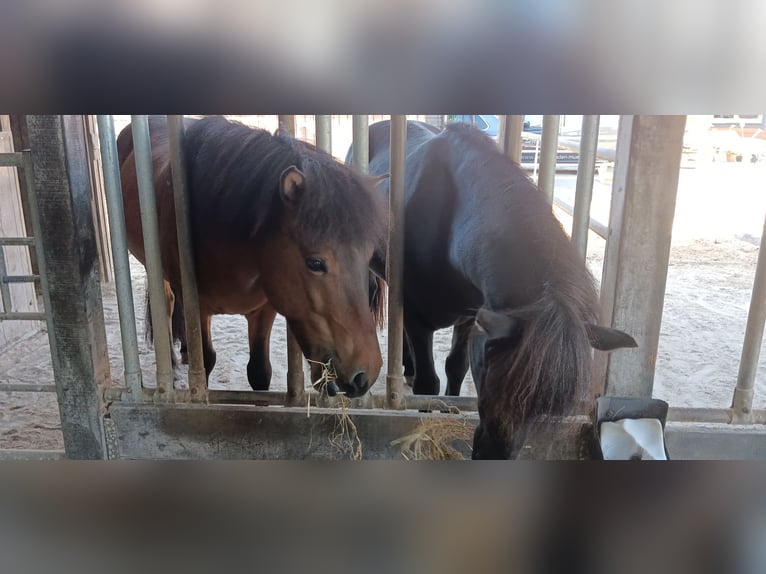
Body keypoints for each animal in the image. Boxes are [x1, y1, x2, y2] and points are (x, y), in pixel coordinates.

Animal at [118, 115, 387, 396]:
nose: (365, 374)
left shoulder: (264, 310)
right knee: (167, 308)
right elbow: (206, 362)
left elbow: (259, 371)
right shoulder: (197, 306)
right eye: (315, 262)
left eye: (368, 256)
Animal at [362, 119, 637, 458]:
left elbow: (456, 368)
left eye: (548, 402)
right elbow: (429, 383)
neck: (448, 221)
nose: (491, 454)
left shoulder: (471, 318)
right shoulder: (417, 317)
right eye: (492, 359)